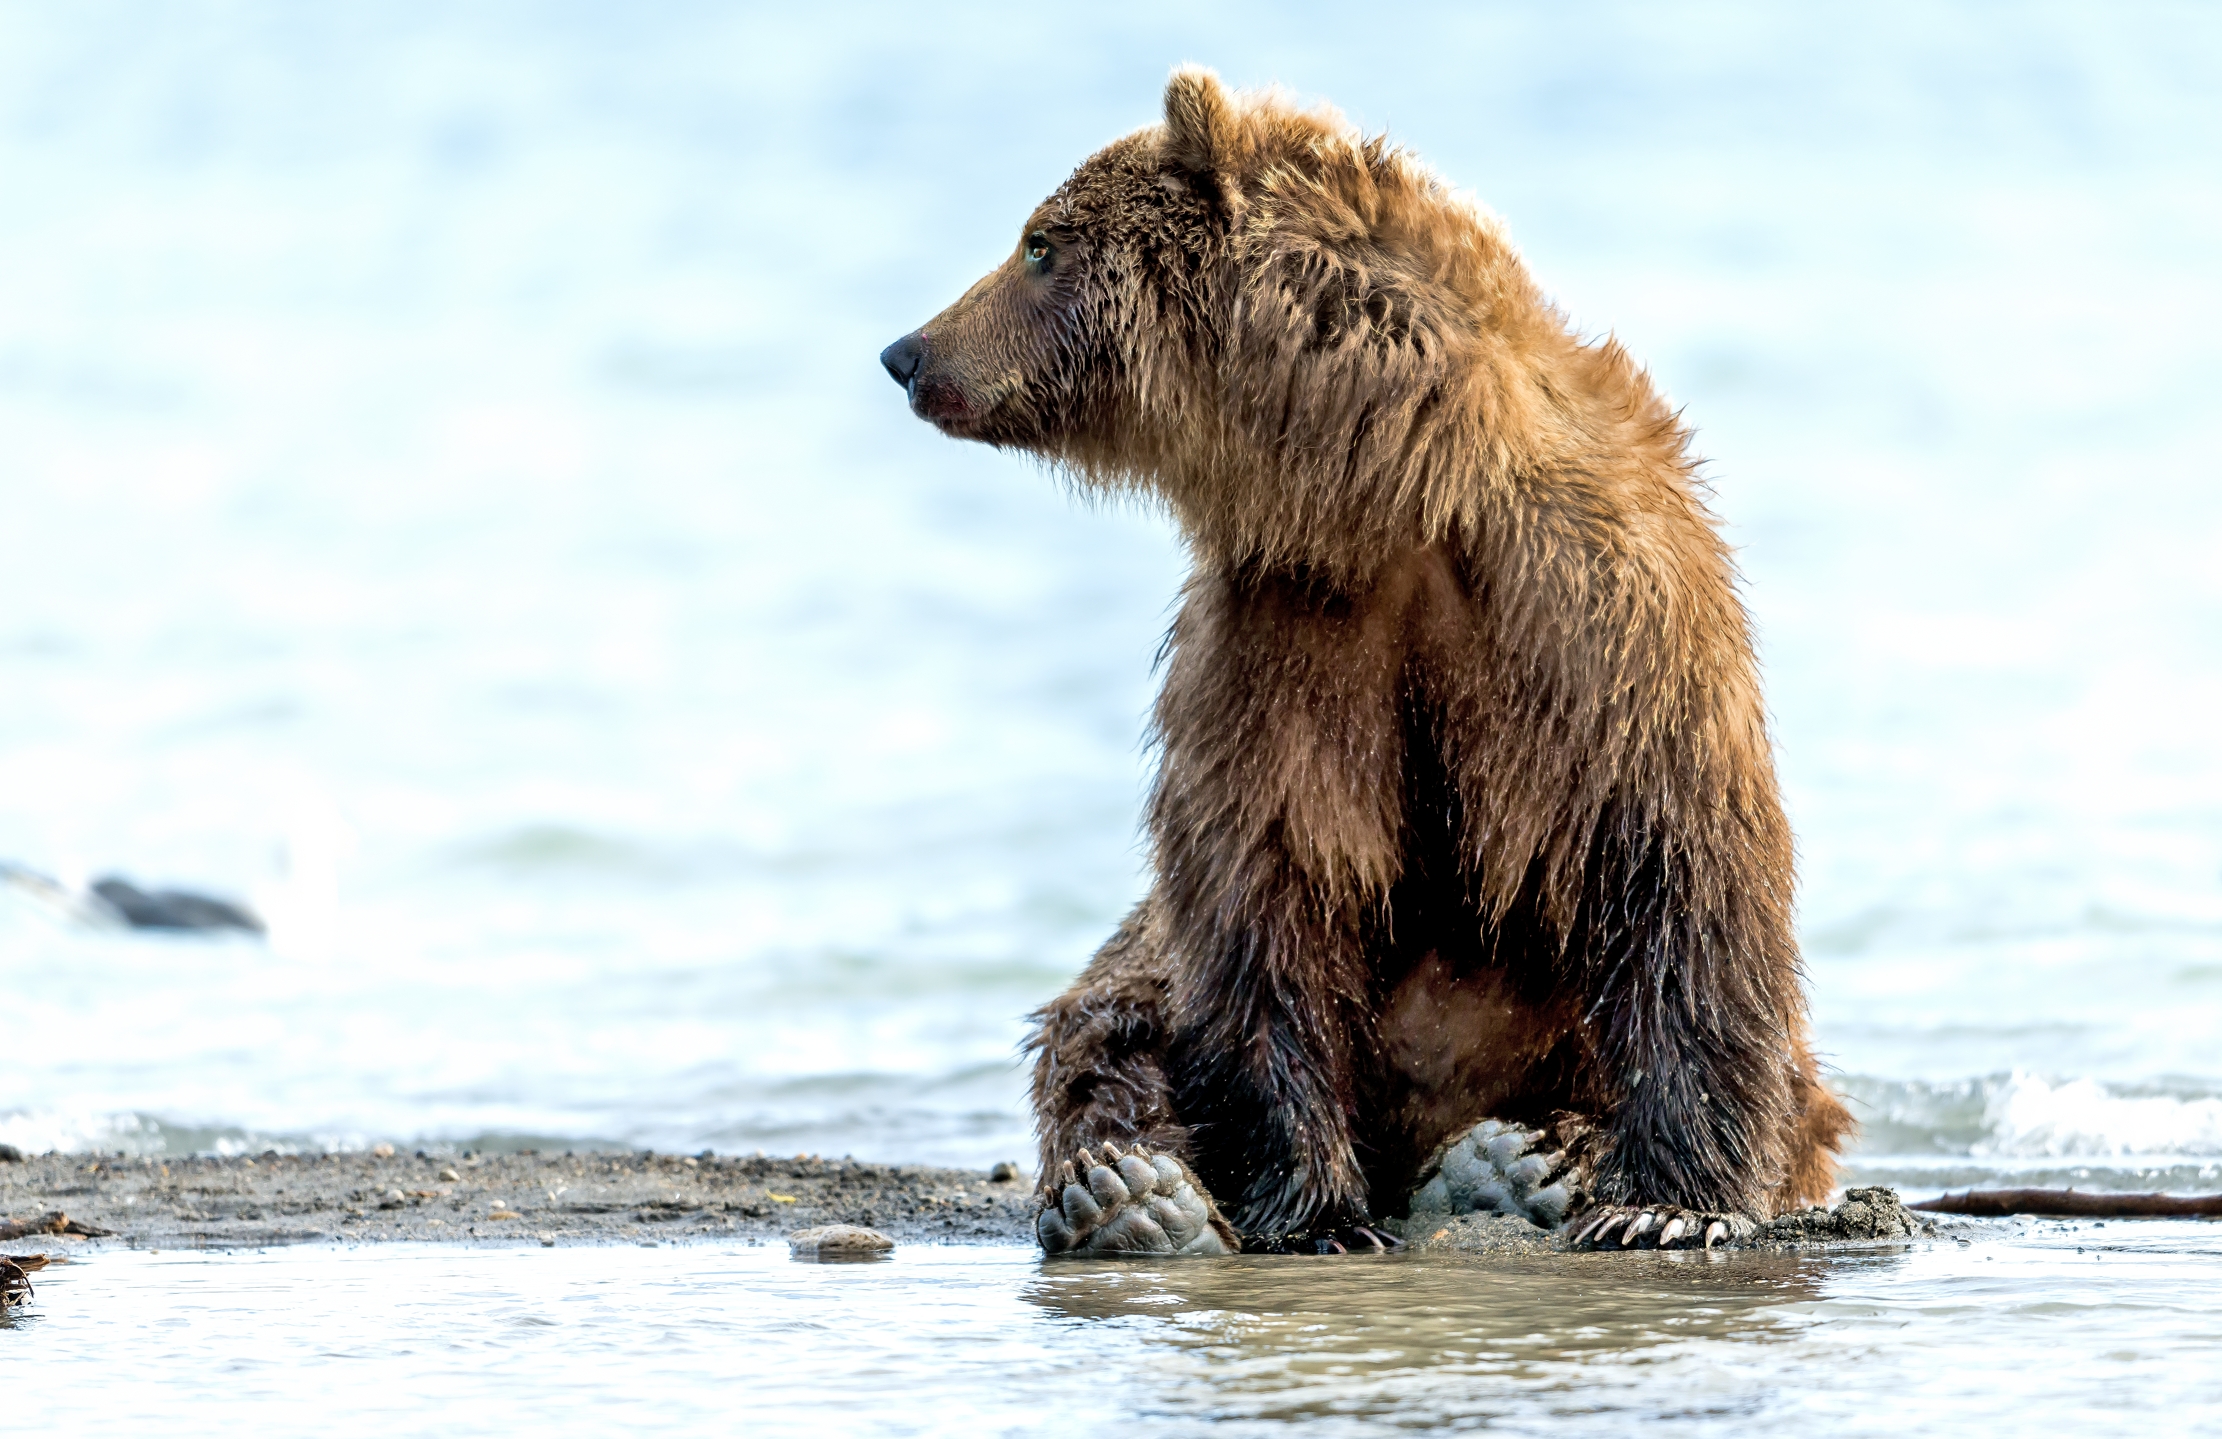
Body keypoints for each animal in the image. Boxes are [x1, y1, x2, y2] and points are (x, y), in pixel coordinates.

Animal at [879, 67, 1852, 1255]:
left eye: (1036, 243)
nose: (908, 351)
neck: (1386, 487)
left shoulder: (1591, 614)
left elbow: (1670, 861)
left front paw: (1665, 1201)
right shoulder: (1282, 637)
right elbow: (1268, 881)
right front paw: (1317, 1211)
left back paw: (1531, 1155)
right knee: (1107, 1025)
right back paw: (1131, 1190)